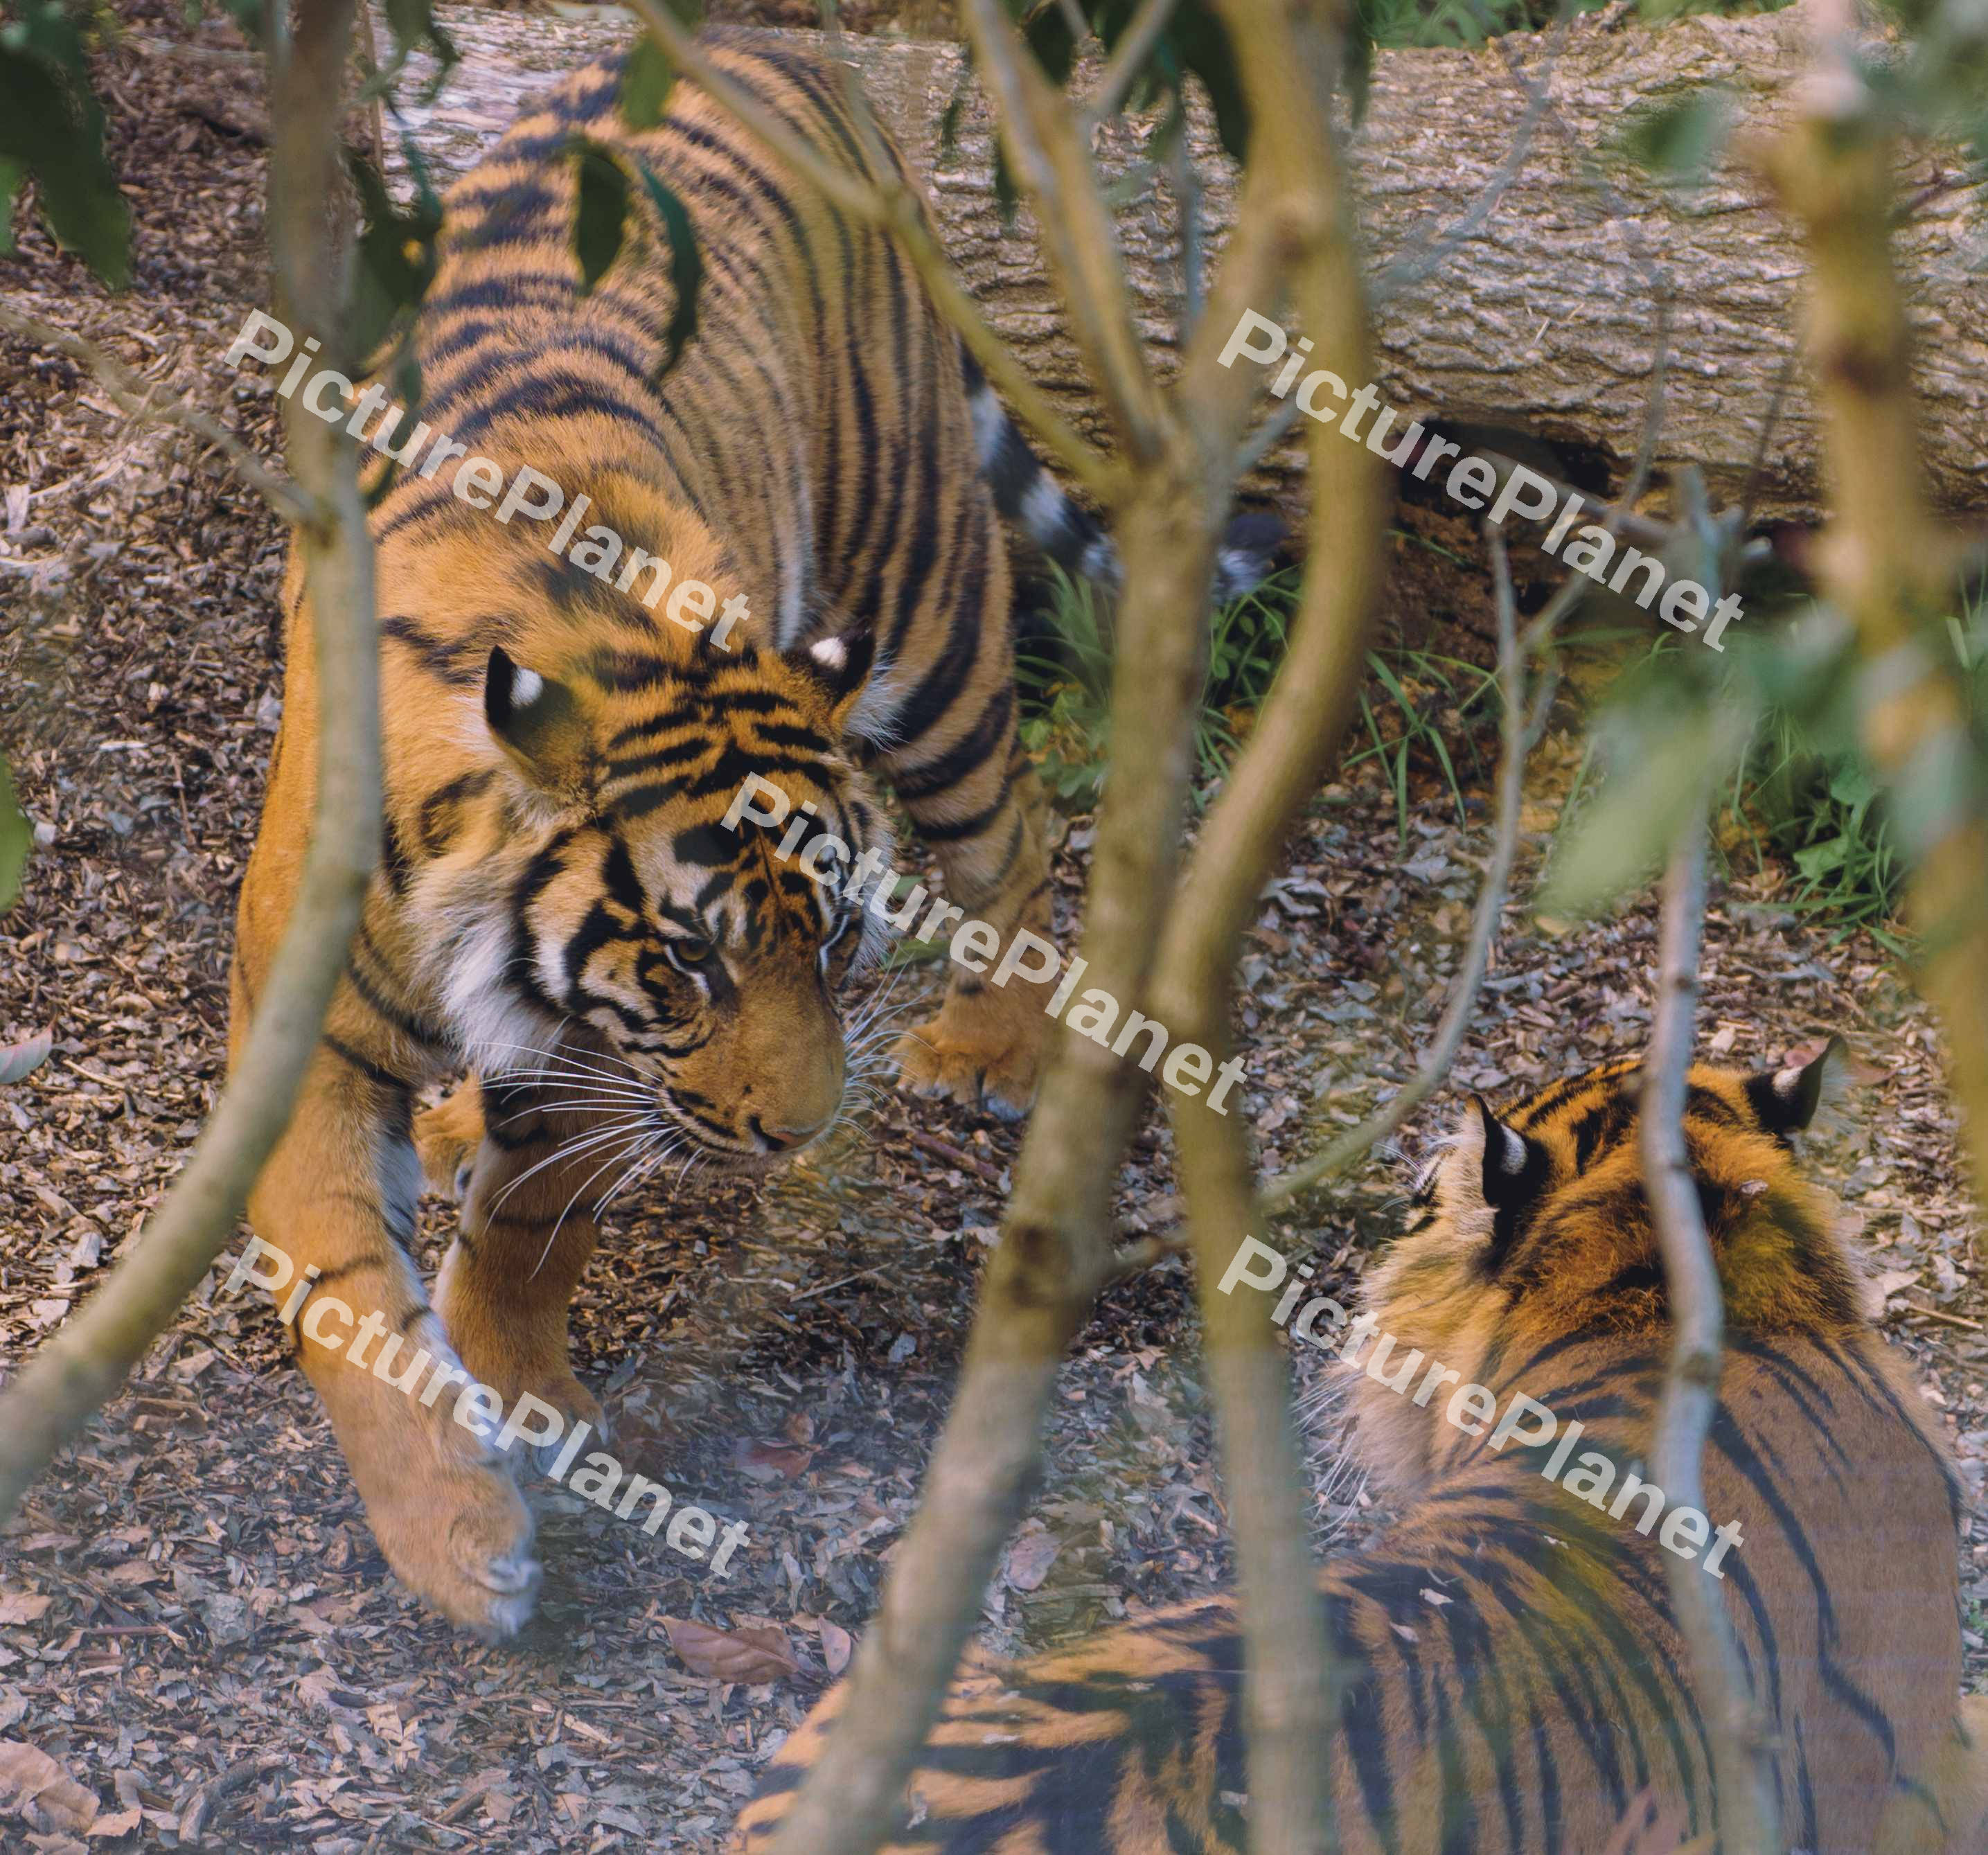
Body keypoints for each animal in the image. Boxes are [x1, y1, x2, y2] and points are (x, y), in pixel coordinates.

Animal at [228, 31, 1277, 1639]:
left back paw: (990, 1047)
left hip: (921, 610)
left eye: (835, 940)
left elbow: (535, 1221)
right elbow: (348, 1284)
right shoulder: (318, 1027)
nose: (801, 1132)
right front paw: (456, 1537)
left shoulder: (582, 1053)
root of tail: (763, 35)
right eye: (687, 967)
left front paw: (519, 1394)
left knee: (1016, 823)